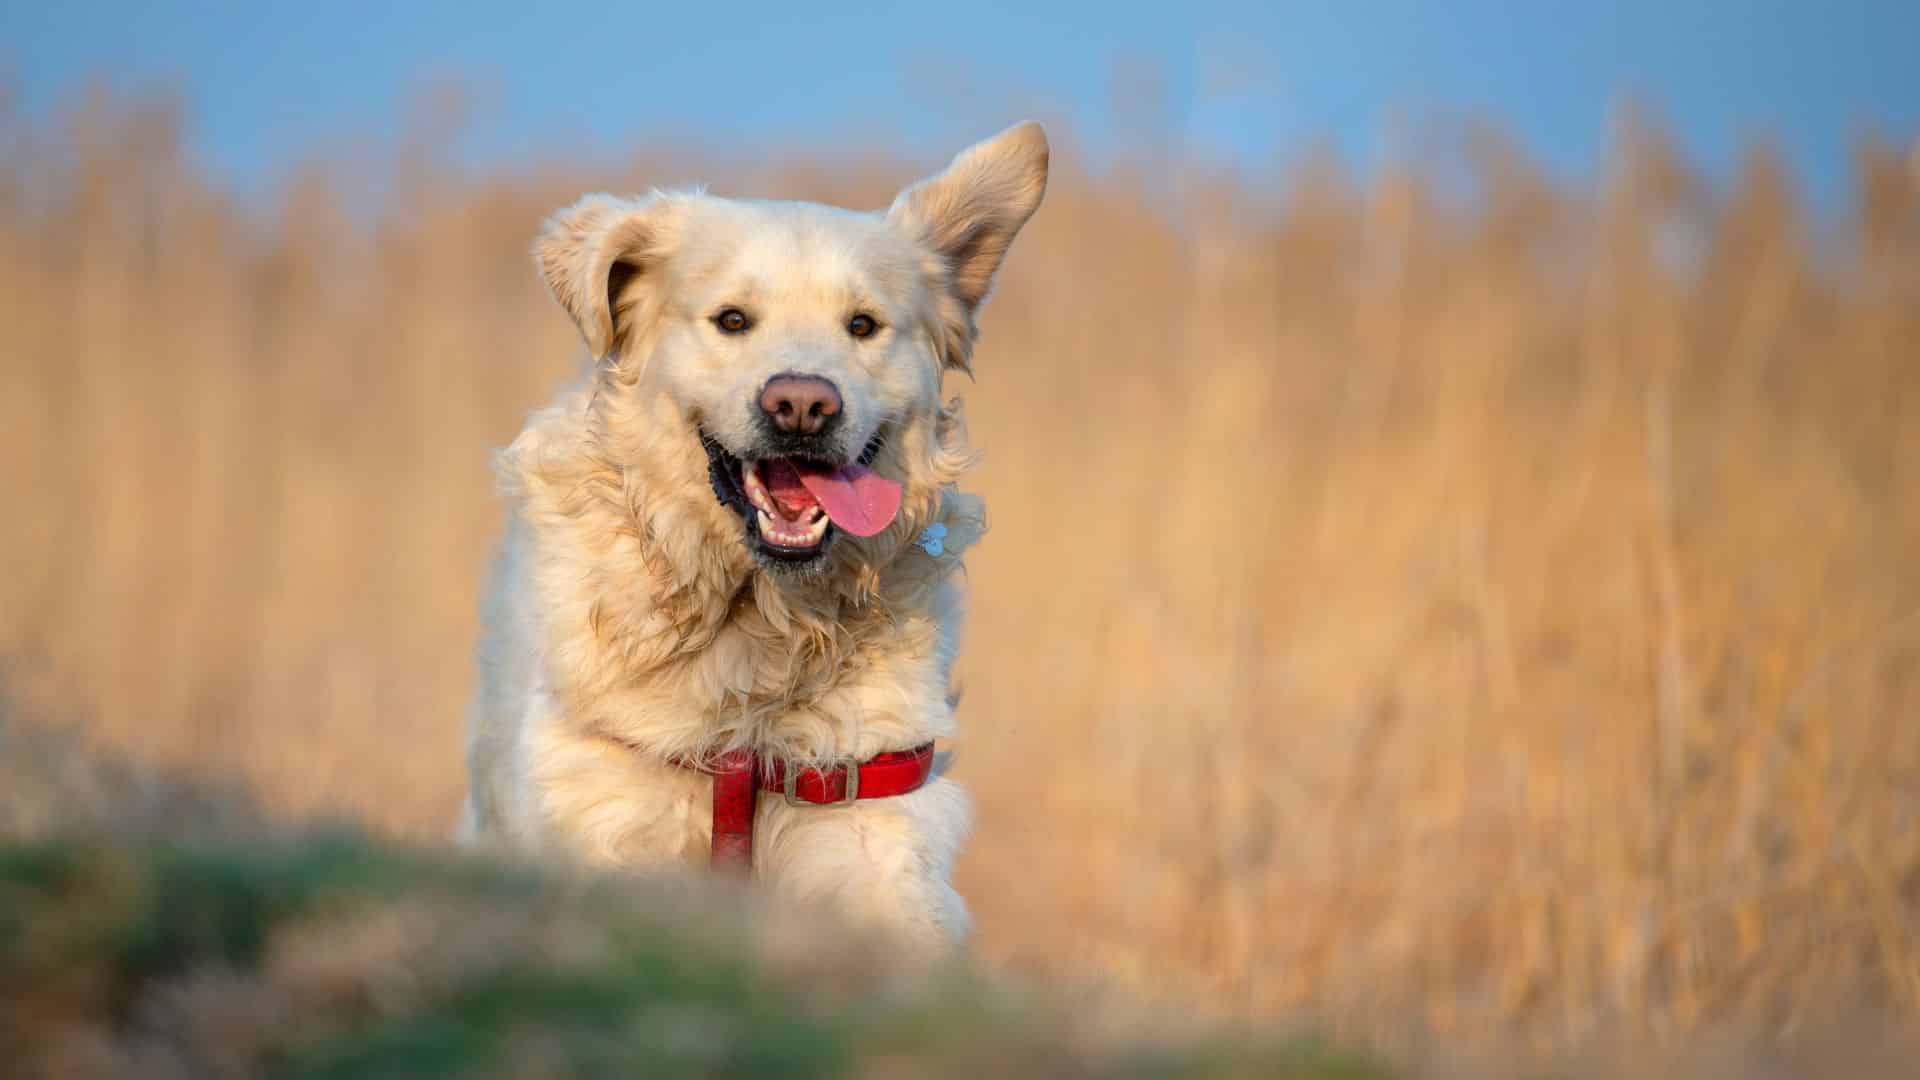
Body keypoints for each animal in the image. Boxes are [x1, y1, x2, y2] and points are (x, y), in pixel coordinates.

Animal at [462, 123, 1052, 949]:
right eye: (732, 320)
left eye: (863, 325)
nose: (802, 405)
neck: (758, 627)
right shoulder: (610, 809)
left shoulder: (868, 818)